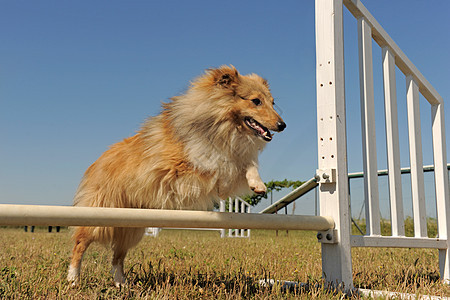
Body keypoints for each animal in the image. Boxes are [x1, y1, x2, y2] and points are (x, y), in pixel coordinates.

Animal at [67, 65, 284, 286]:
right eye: (255, 101)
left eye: (272, 102)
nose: (282, 125)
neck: (221, 125)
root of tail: (96, 162)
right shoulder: (181, 168)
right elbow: (221, 165)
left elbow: (246, 163)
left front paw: (257, 184)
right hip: (99, 216)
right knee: (80, 244)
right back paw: (73, 279)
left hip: (131, 226)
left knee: (118, 257)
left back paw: (121, 283)